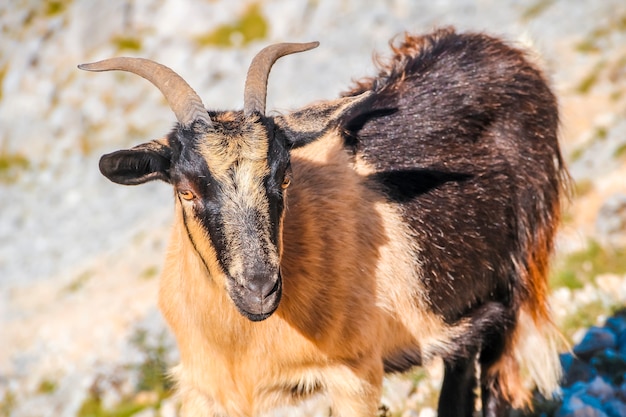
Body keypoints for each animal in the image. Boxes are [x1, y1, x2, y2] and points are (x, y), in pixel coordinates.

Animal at [79, 28, 564, 416]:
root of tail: (504, 49)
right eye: (186, 191)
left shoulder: (354, 375)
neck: (242, 340)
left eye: (285, 176)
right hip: (462, 309)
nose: (259, 289)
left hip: (518, 271)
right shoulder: (207, 392)